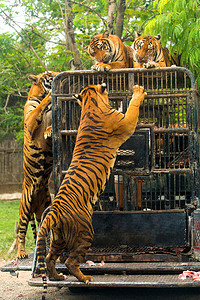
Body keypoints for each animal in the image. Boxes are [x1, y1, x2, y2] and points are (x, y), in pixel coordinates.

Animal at [35, 81, 145, 292]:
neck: (90, 103)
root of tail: (53, 211)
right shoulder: (126, 123)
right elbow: (133, 107)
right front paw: (138, 91)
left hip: (58, 238)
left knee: (49, 257)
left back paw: (57, 277)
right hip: (84, 232)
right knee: (70, 261)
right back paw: (85, 278)